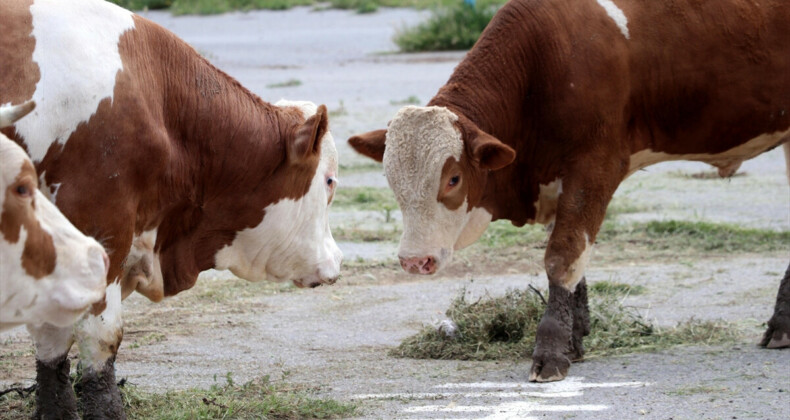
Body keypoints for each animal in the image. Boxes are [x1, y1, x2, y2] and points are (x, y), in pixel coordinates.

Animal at [352, 0, 790, 384]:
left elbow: (562, 256)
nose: (415, 260)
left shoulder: (594, 169)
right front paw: (574, 337)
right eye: (391, 178)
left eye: (454, 179)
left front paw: (550, 349)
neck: (547, 61)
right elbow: (573, 261)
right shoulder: (559, 180)